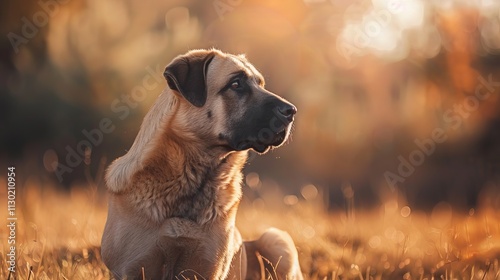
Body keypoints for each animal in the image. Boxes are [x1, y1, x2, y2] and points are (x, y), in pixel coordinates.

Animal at [101, 49, 302, 278]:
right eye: (235, 84)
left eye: (260, 84)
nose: (291, 111)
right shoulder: (131, 268)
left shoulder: (206, 268)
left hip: (276, 239)